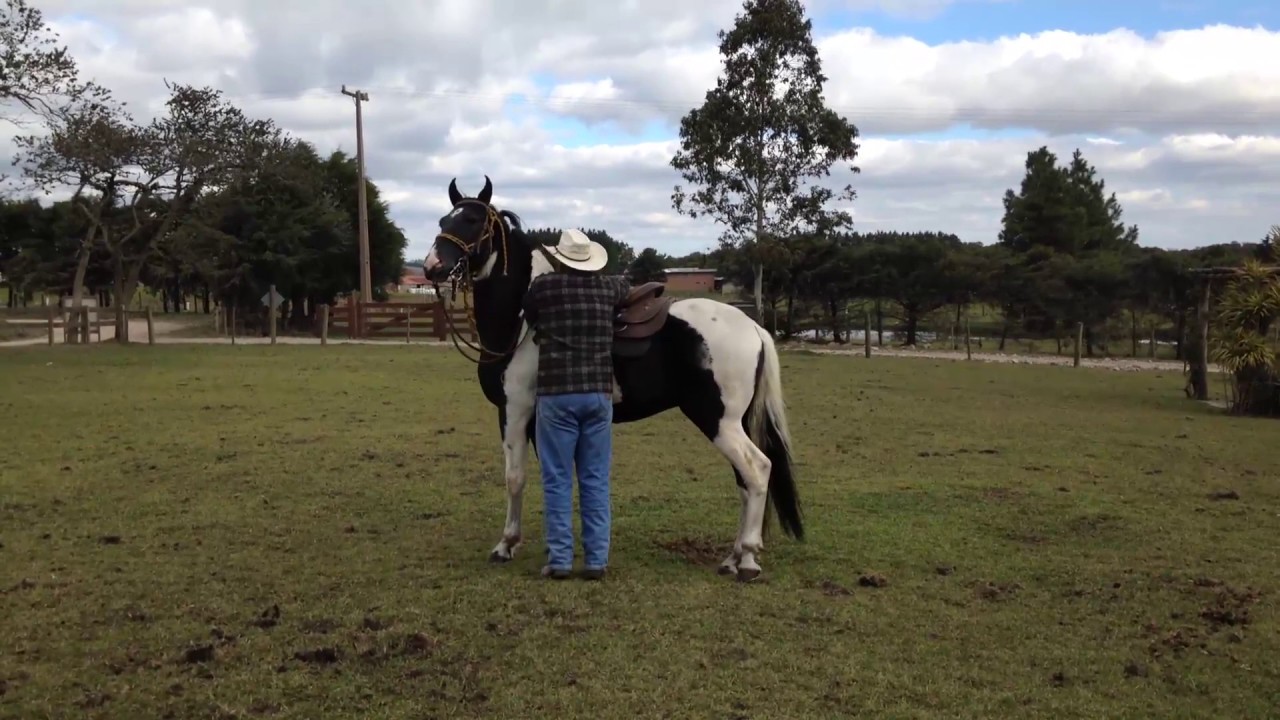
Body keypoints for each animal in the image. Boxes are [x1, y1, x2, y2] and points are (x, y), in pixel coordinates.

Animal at [422, 176, 803, 581]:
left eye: (473, 221)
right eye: (445, 220)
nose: (433, 266)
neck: (522, 319)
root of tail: (753, 327)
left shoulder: (515, 411)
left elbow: (515, 477)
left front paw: (506, 545)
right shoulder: (536, 419)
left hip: (718, 420)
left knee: (758, 470)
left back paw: (747, 558)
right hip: (735, 422)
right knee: (745, 481)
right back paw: (733, 557)